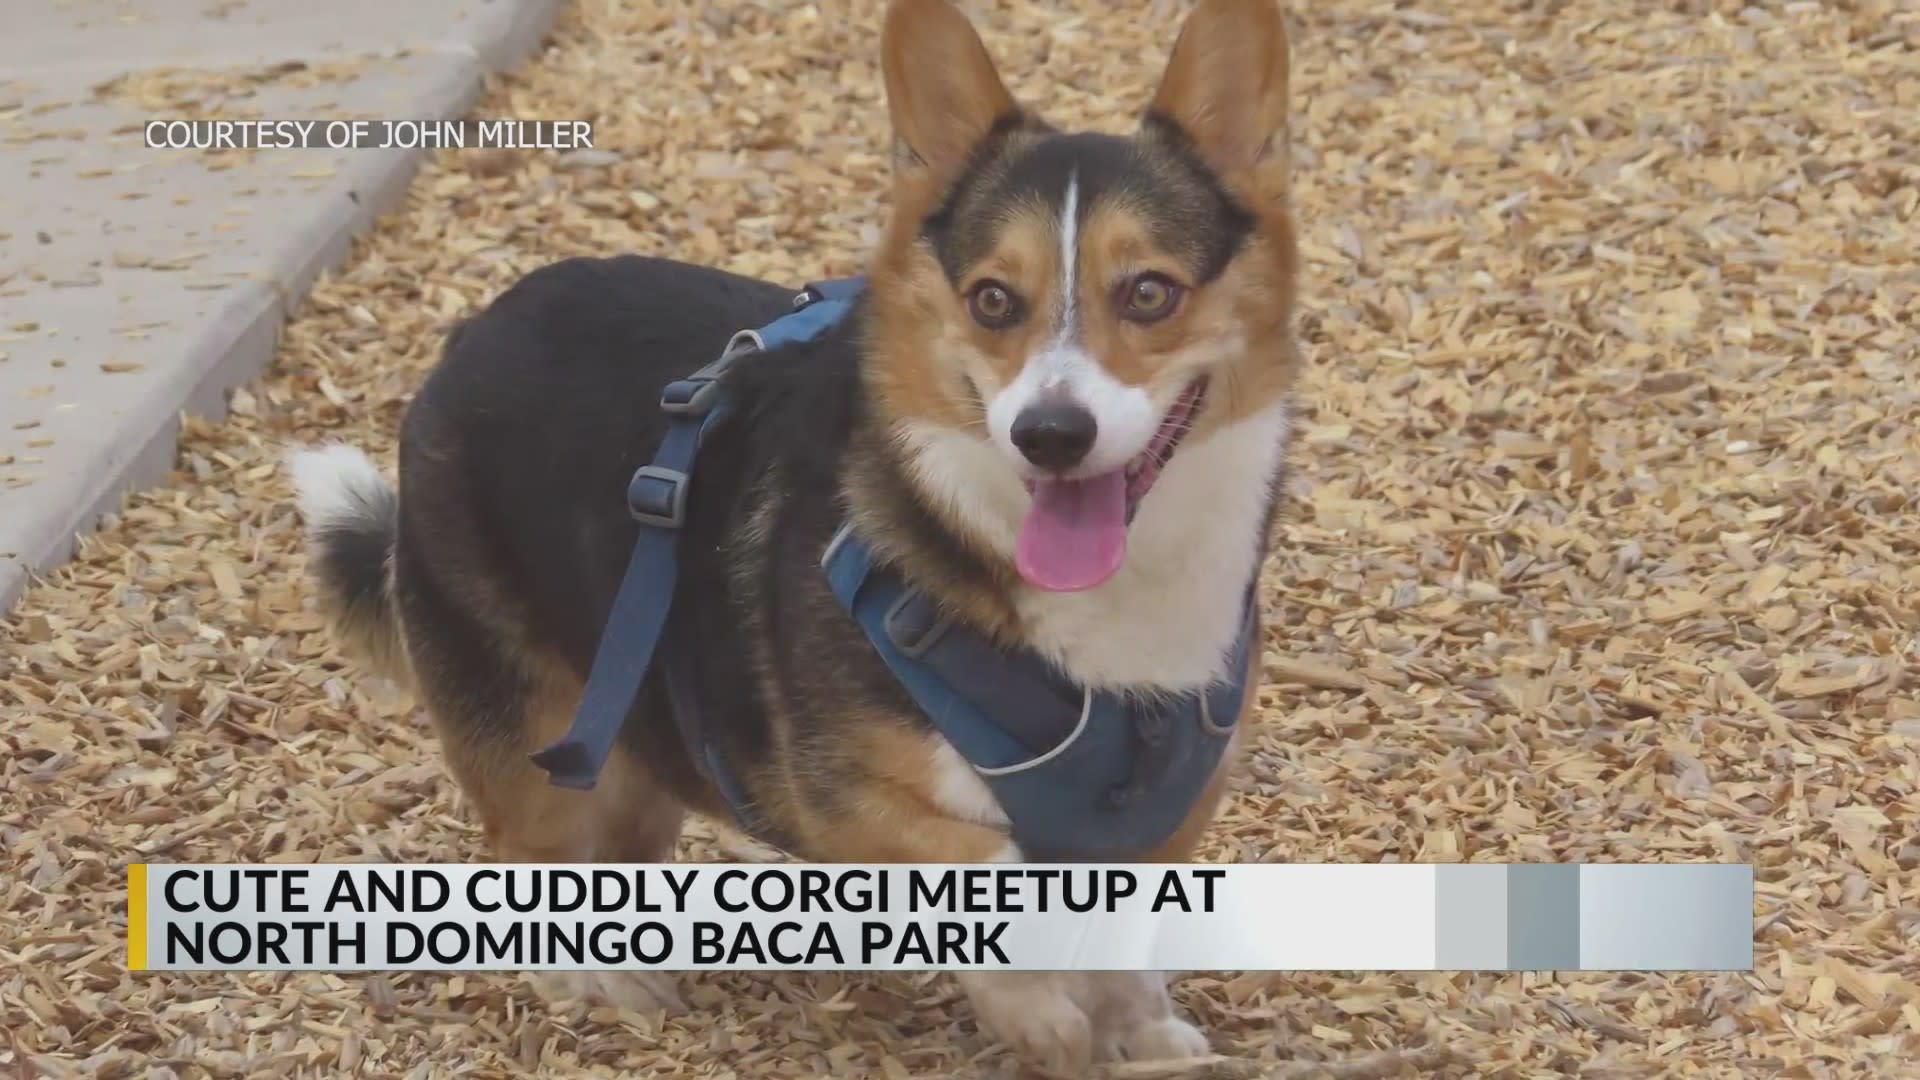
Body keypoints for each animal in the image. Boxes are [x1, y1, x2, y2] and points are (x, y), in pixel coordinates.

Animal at [291, 0, 1297, 1060]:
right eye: (992, 300)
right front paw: (1037, 1009)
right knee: (529, 849)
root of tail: (466, 339)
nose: (1050, 434)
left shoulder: (1168, 813)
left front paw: (1137, 1028)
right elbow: (985, 863)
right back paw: (593, 976)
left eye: (1149, 292)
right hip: (531, 724)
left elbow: (1122, 933)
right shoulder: (838, 794)